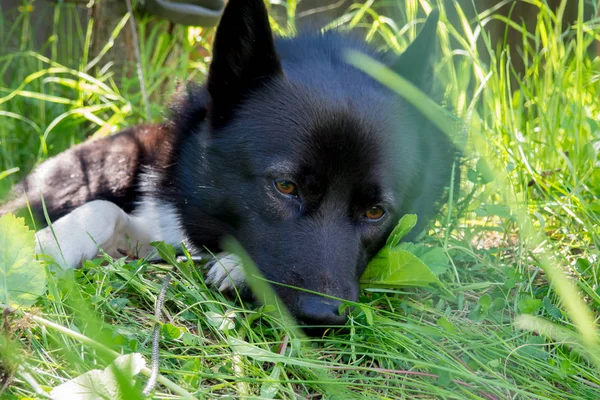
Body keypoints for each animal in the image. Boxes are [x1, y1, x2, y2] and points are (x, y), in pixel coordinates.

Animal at [1, 0, 460, 328]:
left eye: (375, 211)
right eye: (285, 186)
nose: (321, 316)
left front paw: (237, 268)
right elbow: (101, 210)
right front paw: (40, 247)